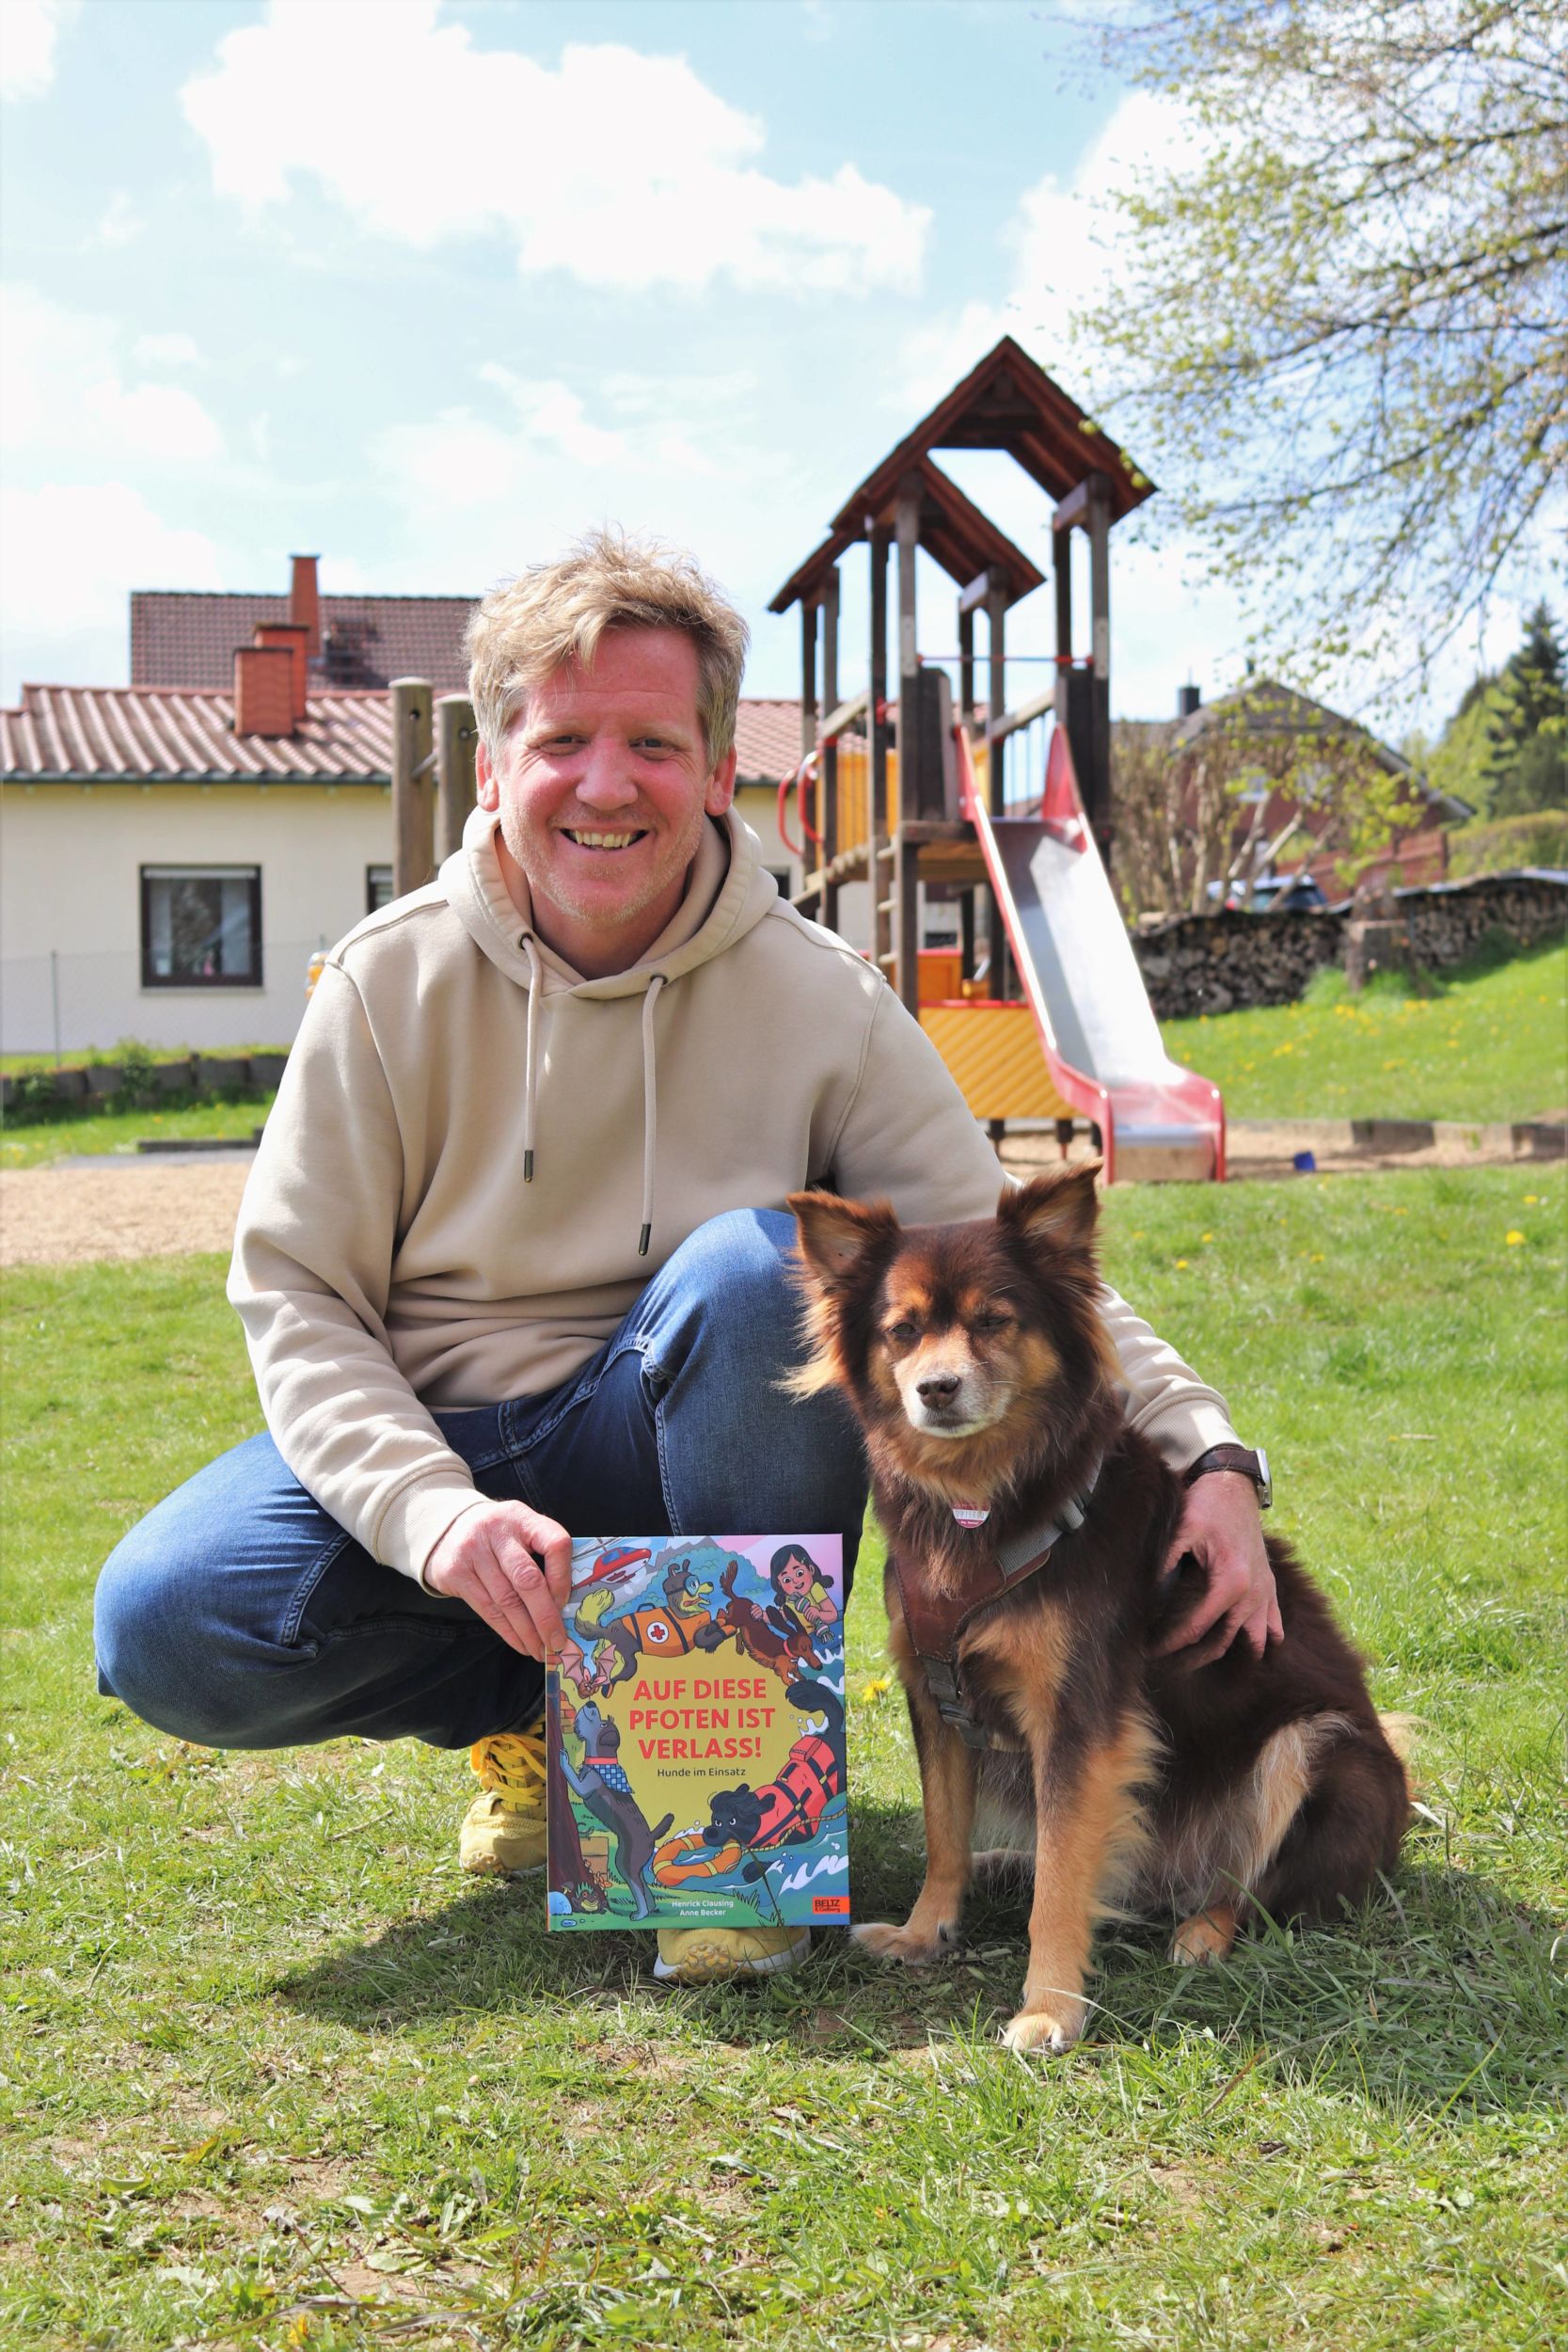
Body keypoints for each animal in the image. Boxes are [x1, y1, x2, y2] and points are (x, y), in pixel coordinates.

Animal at [789, 1167, 1419, 2051]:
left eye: (994, 1320)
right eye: (901, 1330)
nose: (935, 1390)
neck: (986, 1497)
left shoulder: (1080, 1715)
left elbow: (1063, 1879)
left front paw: (1048, 2007)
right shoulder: (934, 1691)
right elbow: (945, 1830)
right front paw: (924, 1931)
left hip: (1314, 1744)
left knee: (1255, 1888)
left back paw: (1203, 1931)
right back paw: (1002, 1866)